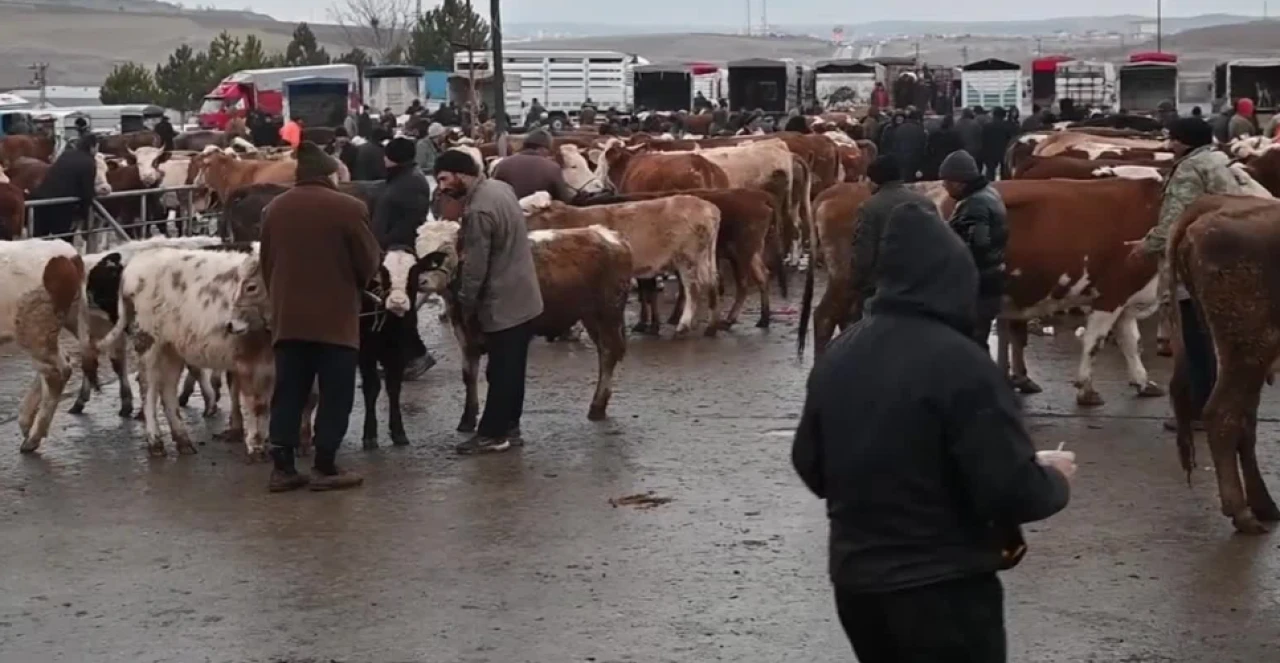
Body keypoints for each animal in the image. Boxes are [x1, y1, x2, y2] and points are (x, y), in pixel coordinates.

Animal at [414, 222, 629, 432]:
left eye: (444, 253)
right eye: (418, 254)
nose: (421, 281)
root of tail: (607, 234)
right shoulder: (466, 337)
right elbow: (469, 376)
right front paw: (467, 419)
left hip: (608, 314)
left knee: (608, 354)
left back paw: (597, 407)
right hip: (591, 317)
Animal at [519, 191, 721, 337]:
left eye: (525, 210)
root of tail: (709, 208)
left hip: (689, 258)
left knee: (693, 288)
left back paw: (683, 326)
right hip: (706, 256)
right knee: (713, 283)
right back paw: (711, 327)